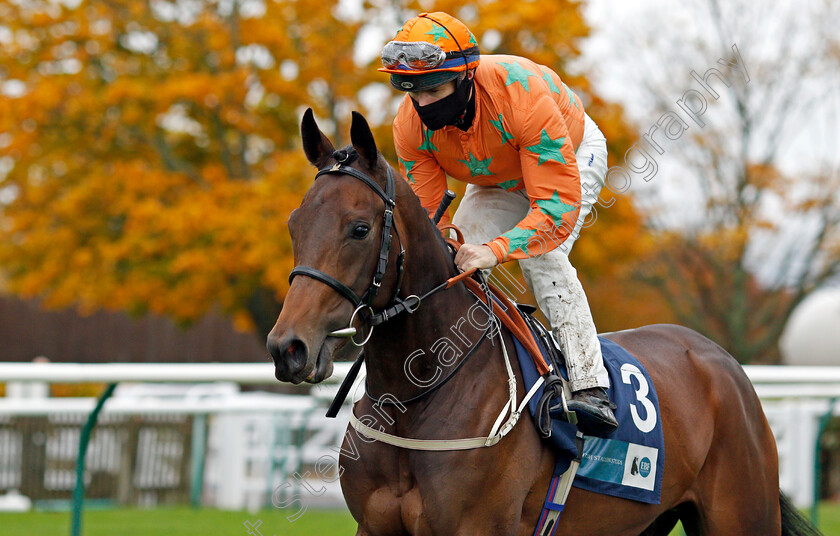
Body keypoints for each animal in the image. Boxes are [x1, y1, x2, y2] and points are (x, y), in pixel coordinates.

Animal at [268, 109, 820, 536]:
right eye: (294, 224)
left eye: (360, 229)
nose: (288, 347)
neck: (417, 397)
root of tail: (722, 363)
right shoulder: (375, 525)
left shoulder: (474, 527)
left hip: (742, 513)